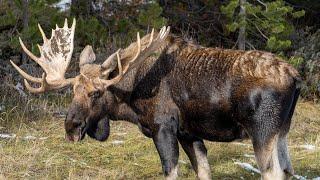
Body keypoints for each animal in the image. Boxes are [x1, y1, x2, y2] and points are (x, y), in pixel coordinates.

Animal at [10, 19, 300, 179]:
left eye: (96, 93)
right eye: (73, 92)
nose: (71, 126)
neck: (130, 98)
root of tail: (296, 78)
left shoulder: (164, 127)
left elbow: (170, 170)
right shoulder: (188, 133)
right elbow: (203, 170)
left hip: (262, 131)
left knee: (273, 172)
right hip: (282, 132)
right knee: (287, 169)